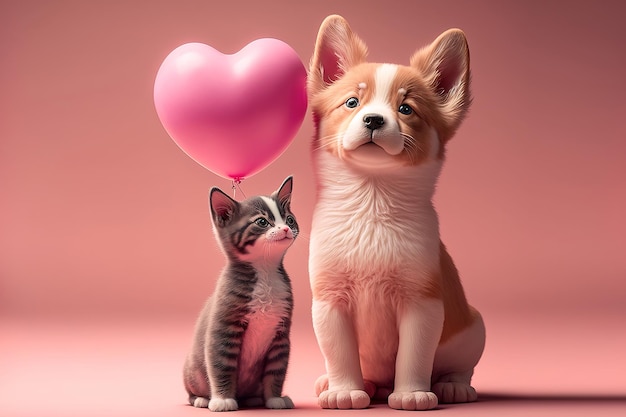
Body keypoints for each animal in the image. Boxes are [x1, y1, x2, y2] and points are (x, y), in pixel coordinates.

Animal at [183, 175, 298, 410]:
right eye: (262, 222)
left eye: (289, 219)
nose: (285, 229)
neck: (265, 272)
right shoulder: (223, 328)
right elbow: (221, 365)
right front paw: (222, 399)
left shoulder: (281, 333)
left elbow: (277, 369)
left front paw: (274, 398)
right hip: (192, 370)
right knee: (192, 389)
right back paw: (201, 399)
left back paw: (254, 398)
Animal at [304, 13, 486, 410]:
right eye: (352, 102)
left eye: (406, 109)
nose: (373, 119)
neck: (372, 199)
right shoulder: (329, 301)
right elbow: (339, 352)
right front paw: (344, 391)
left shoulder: (422, 303)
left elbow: (413, 355)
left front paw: (412, 394)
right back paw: (346, 383)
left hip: (473, 329)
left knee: (460, 368)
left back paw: (453, 387)